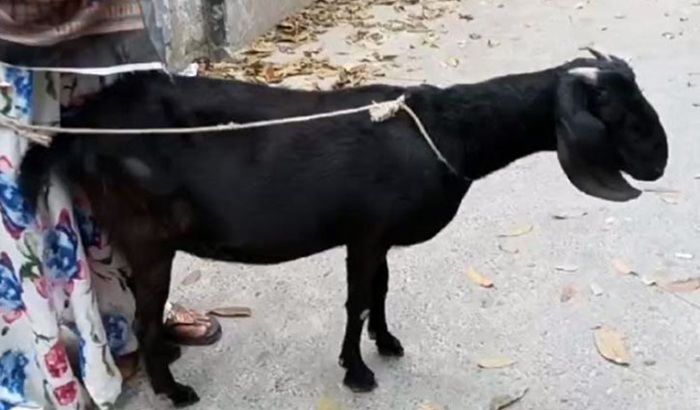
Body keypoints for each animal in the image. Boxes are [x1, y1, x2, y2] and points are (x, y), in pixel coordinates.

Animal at [18, 49, 668, 407]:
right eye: (619, 114)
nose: (660, 163)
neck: (445, 129)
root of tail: (78, 129)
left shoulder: (375, 236)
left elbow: (380, 290)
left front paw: (387, 343)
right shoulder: (367, 232)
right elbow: (357, 299)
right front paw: (357, 373)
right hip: (148, 235)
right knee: (144, 315)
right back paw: (173, 391)